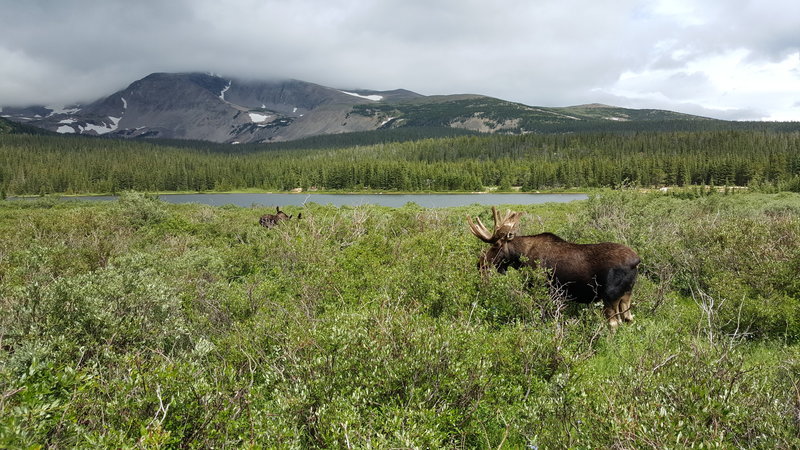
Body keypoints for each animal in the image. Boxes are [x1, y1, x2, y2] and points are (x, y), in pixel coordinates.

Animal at [466, 207, 640, 326]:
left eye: (496, 245)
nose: (480, 264)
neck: (521, 257)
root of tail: (636, 261)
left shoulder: (543, 287)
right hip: (626, 295)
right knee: (628, 318)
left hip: (609, 296)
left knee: (614, 323)